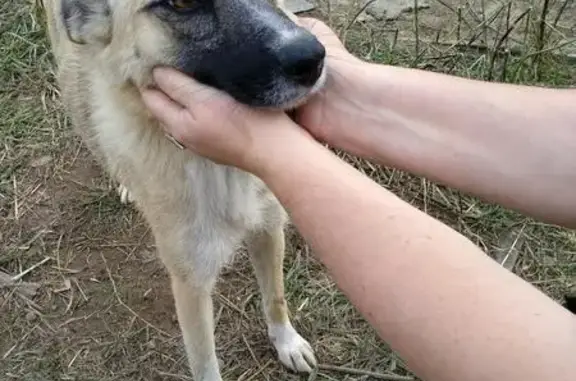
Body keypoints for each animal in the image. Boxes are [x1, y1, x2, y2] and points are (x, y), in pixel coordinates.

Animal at [40, 0, 326, 378]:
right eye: (181, 4)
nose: (313, 58)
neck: (217, 167)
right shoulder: (191, 282)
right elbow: (205, 364)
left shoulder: (268, 228)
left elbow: (275, 298)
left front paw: (287, 342)